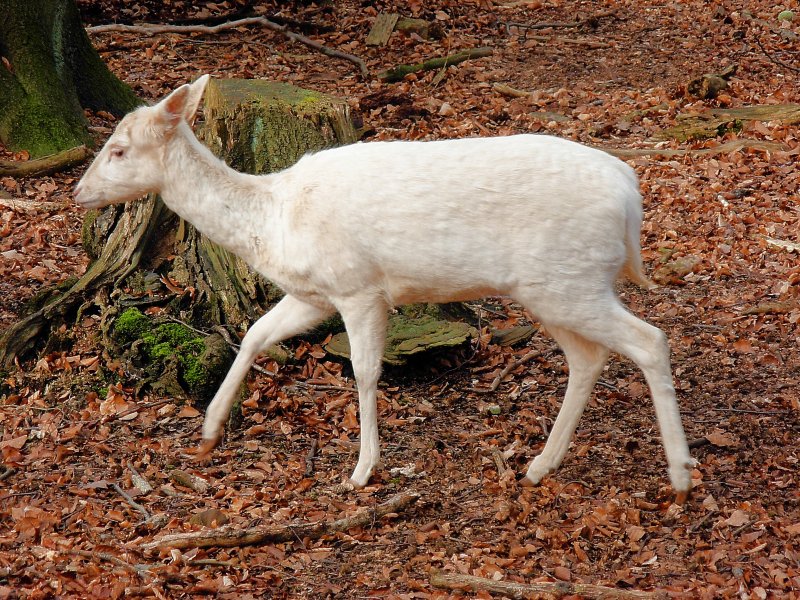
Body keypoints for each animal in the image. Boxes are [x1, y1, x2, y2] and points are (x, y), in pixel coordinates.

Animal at [73, 76, 692, 502]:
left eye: (120, 149)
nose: (78, 193)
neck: (273, 218)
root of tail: (631, 195)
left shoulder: (359, 286)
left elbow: (365, 372)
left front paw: (362, 469)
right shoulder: (313, 293)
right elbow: (254, 334)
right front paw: (207, 430)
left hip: (570, 280)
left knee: (649, 340)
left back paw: (681, 476)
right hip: (554, 289)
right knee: (589, 357)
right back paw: (541, 465)